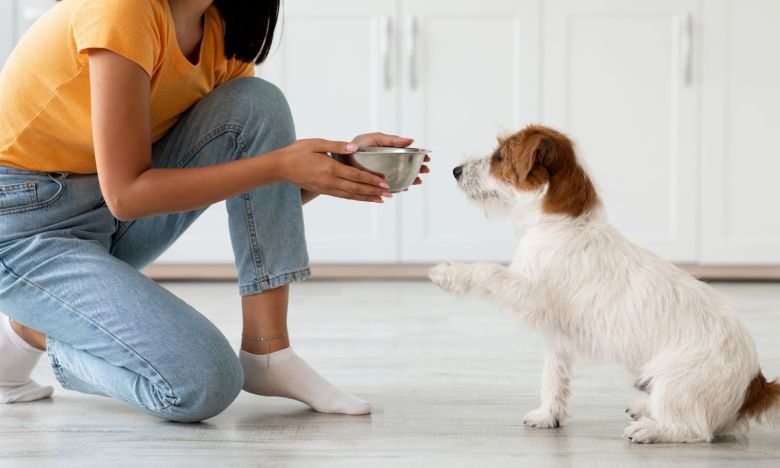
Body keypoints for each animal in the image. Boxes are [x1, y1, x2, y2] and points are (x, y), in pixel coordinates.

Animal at [430, 123, 776, 442]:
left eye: (500, 156)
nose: (455, 170)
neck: (562, 223)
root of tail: (755, 384)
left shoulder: (529, 296)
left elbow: (489, 270)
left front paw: (448, 273)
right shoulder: (557, 338)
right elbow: (553, 378)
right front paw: (548, 415)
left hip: (675, 382)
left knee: (694, 429)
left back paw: (649, 430)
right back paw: (644, 408)